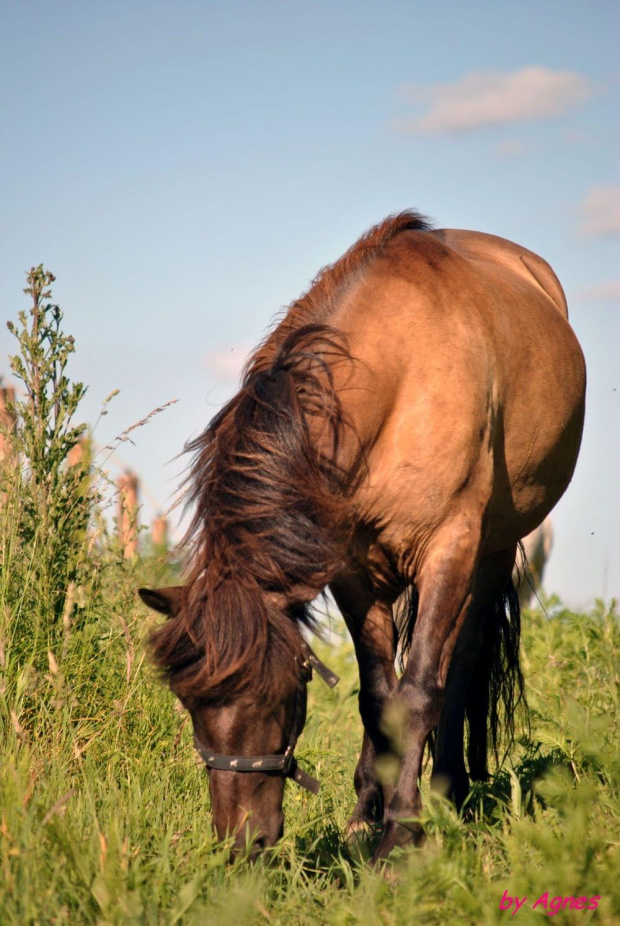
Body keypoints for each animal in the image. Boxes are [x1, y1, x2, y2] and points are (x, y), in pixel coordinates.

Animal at [138, 210, 584, 864]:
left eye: (283, 689)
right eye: (190, 701)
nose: (242, 843)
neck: (401, 375)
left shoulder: (451, 545)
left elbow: (421, 691)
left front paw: (401, 838)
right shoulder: (350, 567)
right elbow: (378, 697)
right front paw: (368, 820)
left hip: (491, 551)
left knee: (460, 660)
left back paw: (448, 794)